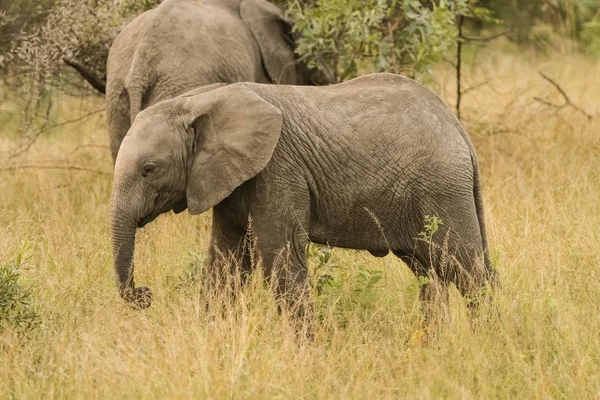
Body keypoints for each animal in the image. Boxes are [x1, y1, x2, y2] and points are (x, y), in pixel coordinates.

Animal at [110, 73, 494, 314]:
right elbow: (226, 262)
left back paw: (484, 342)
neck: (201, 99)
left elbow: (279, 260)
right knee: (431, 275)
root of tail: (459, 128)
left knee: (467, 271)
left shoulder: (278, 169)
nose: (145, 294)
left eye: (149, 169)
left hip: (442, 188)